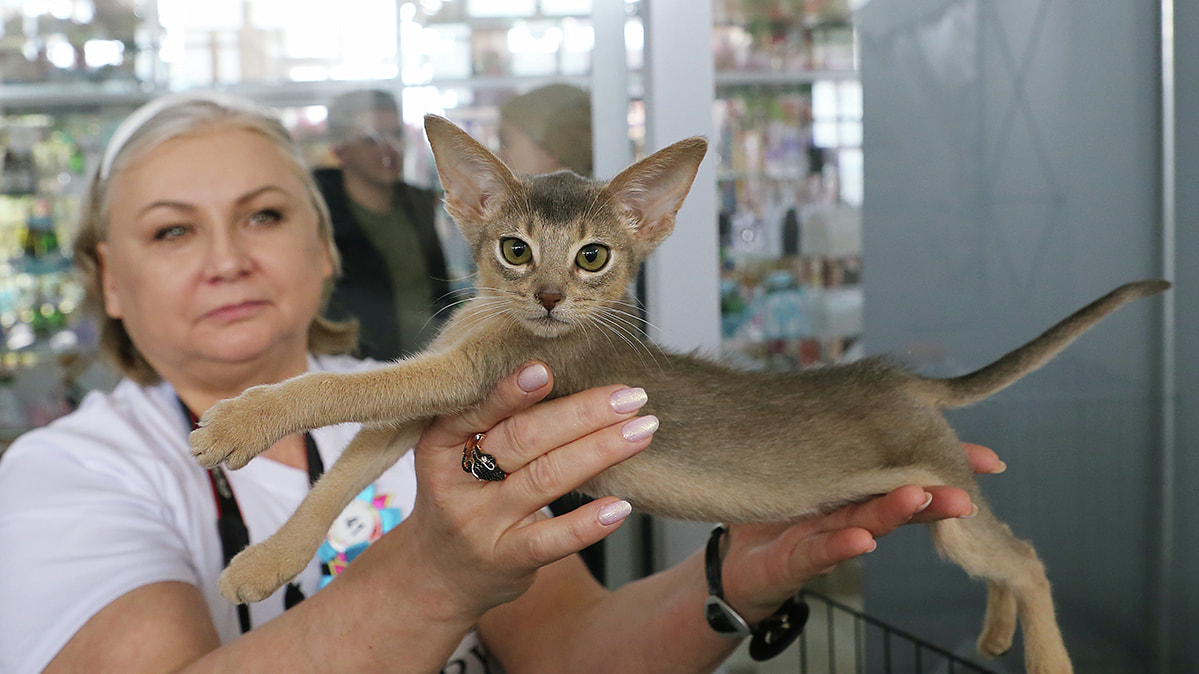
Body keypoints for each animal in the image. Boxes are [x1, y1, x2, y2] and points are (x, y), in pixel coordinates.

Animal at [189, 113, 1170, 671]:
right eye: (514, 249)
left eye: (593, 256)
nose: (550, 298)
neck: (505, 326)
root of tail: (890, 372)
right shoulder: (437, 406)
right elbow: (340, 476)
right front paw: (265, 562)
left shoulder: (471, 377)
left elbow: (327, 392)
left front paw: (237, 419)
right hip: (936, 505)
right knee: (1005, 562)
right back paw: (998, 633)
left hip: (946, 495)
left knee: (1028, 558)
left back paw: (1045, 659)